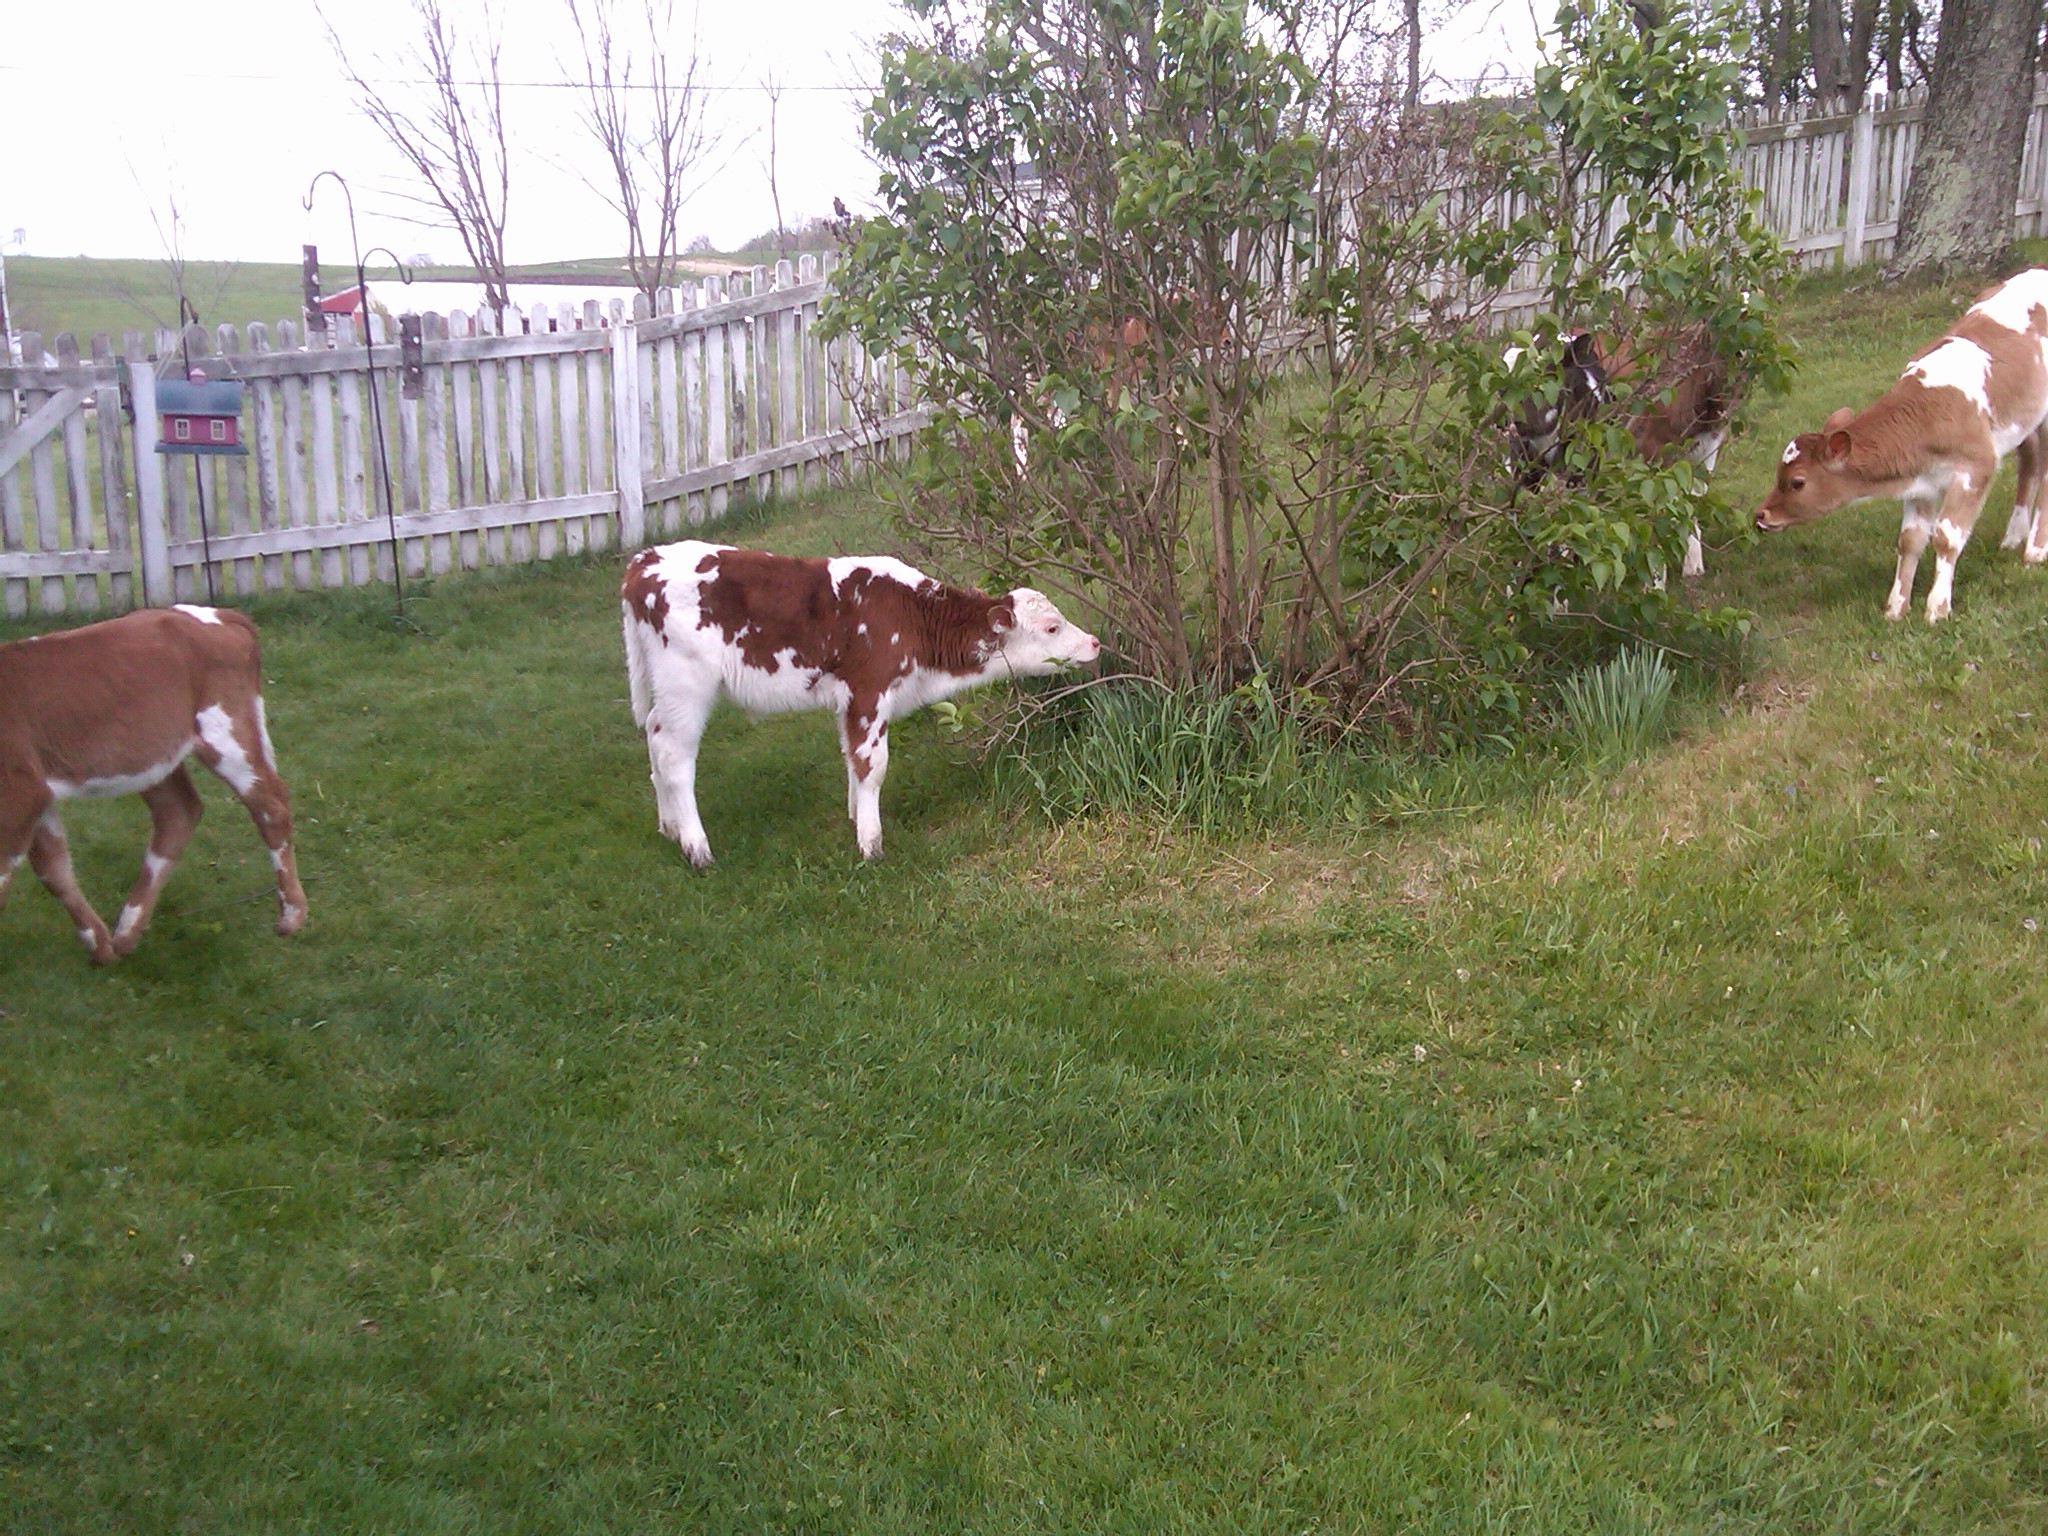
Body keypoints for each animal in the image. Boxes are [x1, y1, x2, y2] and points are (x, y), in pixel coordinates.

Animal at [0, 605, 307, 963]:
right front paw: (99, 946)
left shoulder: (20, 792)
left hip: (225, 730)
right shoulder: (37, 795)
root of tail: (215, 613)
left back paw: (291, 916)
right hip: (147, 754)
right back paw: (124, 934)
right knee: (179, 811)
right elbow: (53, 868)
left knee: (270, 804)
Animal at [621, 542, 1101, 864]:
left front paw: (855, 818)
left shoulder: (849, 701)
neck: (912, 616)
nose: (1095, 641)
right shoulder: (870, 691)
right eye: (1053, 627)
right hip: (687, 684)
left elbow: (851, 758)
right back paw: (696, 846)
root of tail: (642, 560)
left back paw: (669, 827)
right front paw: (871, 844)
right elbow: (873, 765)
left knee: (654, 736)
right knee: (675, 756)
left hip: (667, 691)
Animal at [1757, 267, 2048, 623]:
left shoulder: (1976, 465)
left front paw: (1937, 608)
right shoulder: (1920, 482)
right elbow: (1909, 540)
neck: (1929, 412)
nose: (1761, 514)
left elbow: (1946, 537)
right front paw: (1896, 608)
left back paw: (2035, 548)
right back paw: (2014, 537)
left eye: (1797, 482)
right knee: (2031, 461)